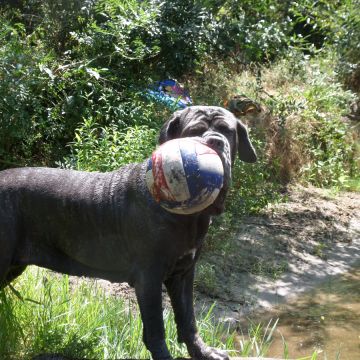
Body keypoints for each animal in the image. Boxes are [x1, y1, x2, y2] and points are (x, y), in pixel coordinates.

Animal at [0, 106, 256, 360]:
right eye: (194, 131)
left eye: (227, 131)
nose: (215, 141)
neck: (188, 216)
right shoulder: (149, 277)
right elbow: (156, 328)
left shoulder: (183, 273)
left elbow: (187, 318)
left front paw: (203, 352)